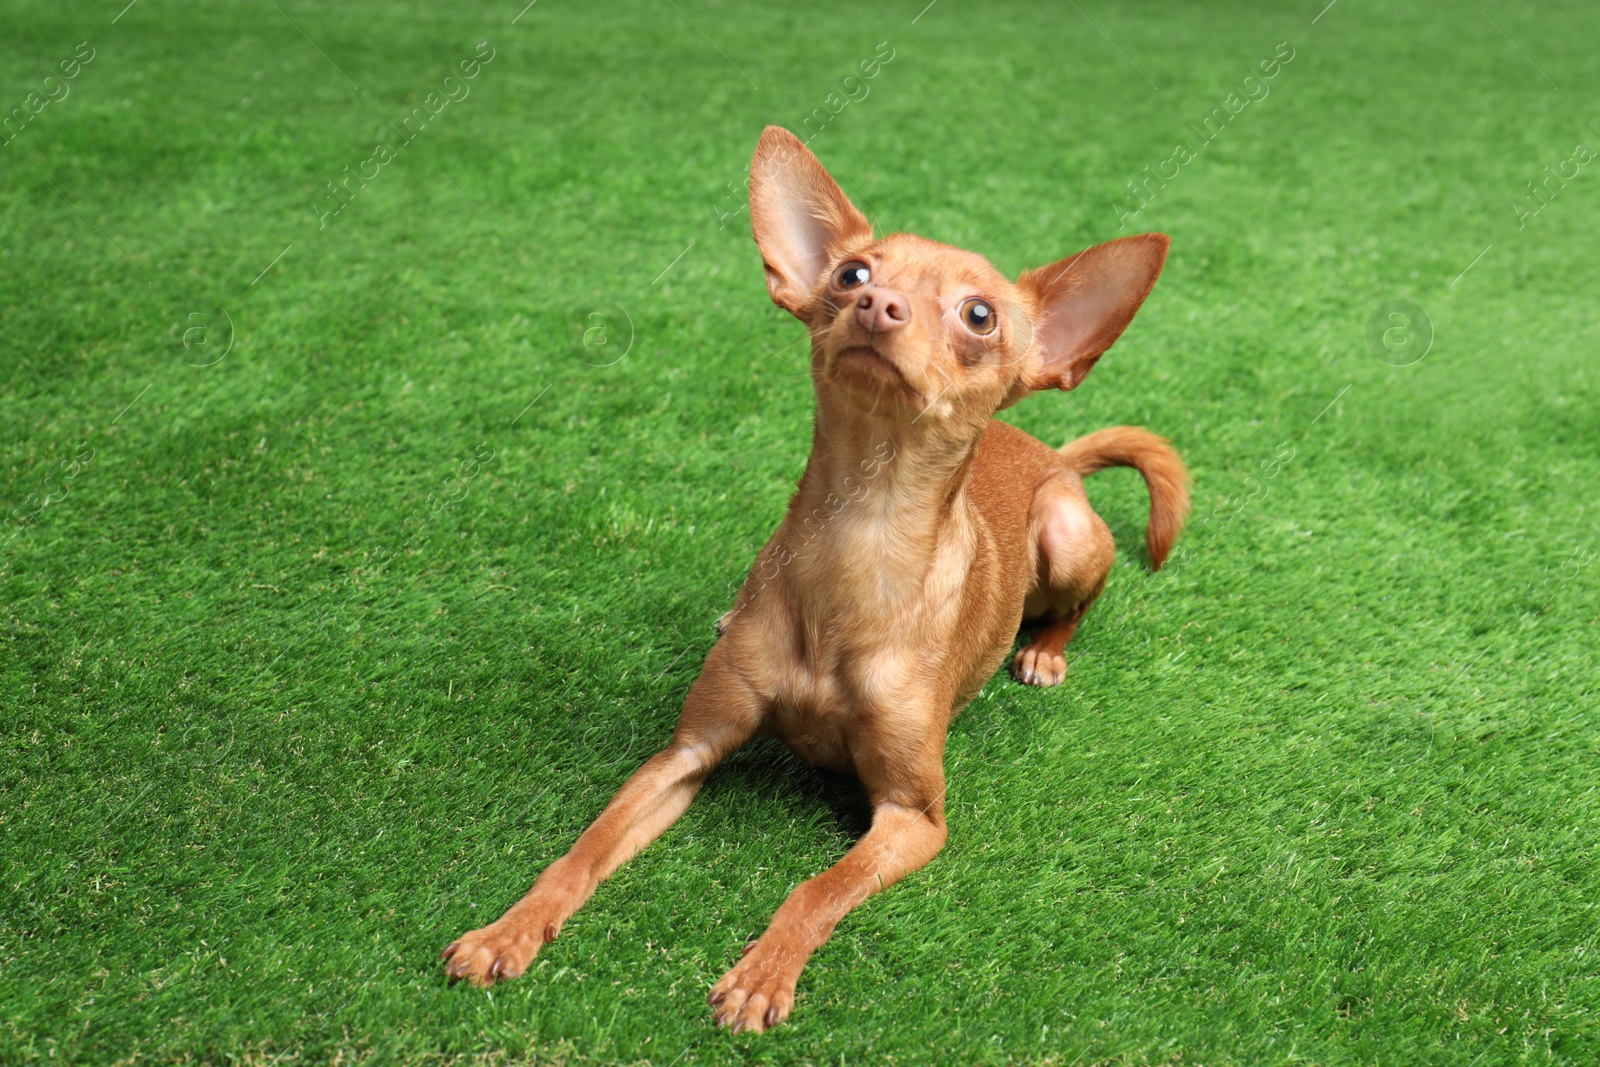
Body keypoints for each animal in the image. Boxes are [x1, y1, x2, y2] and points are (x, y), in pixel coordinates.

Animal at [441, 125, 1190, 1036]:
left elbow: (818, 888)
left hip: (1068, 533)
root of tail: (1050, 450)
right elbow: (582, 850)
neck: (859, 538)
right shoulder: (684, 753)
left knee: (1075, 598)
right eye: (852, 274)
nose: (877, 306)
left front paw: (764, 972)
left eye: (980, 315)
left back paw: (1044, 650)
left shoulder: (914, 816)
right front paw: (508, 928)